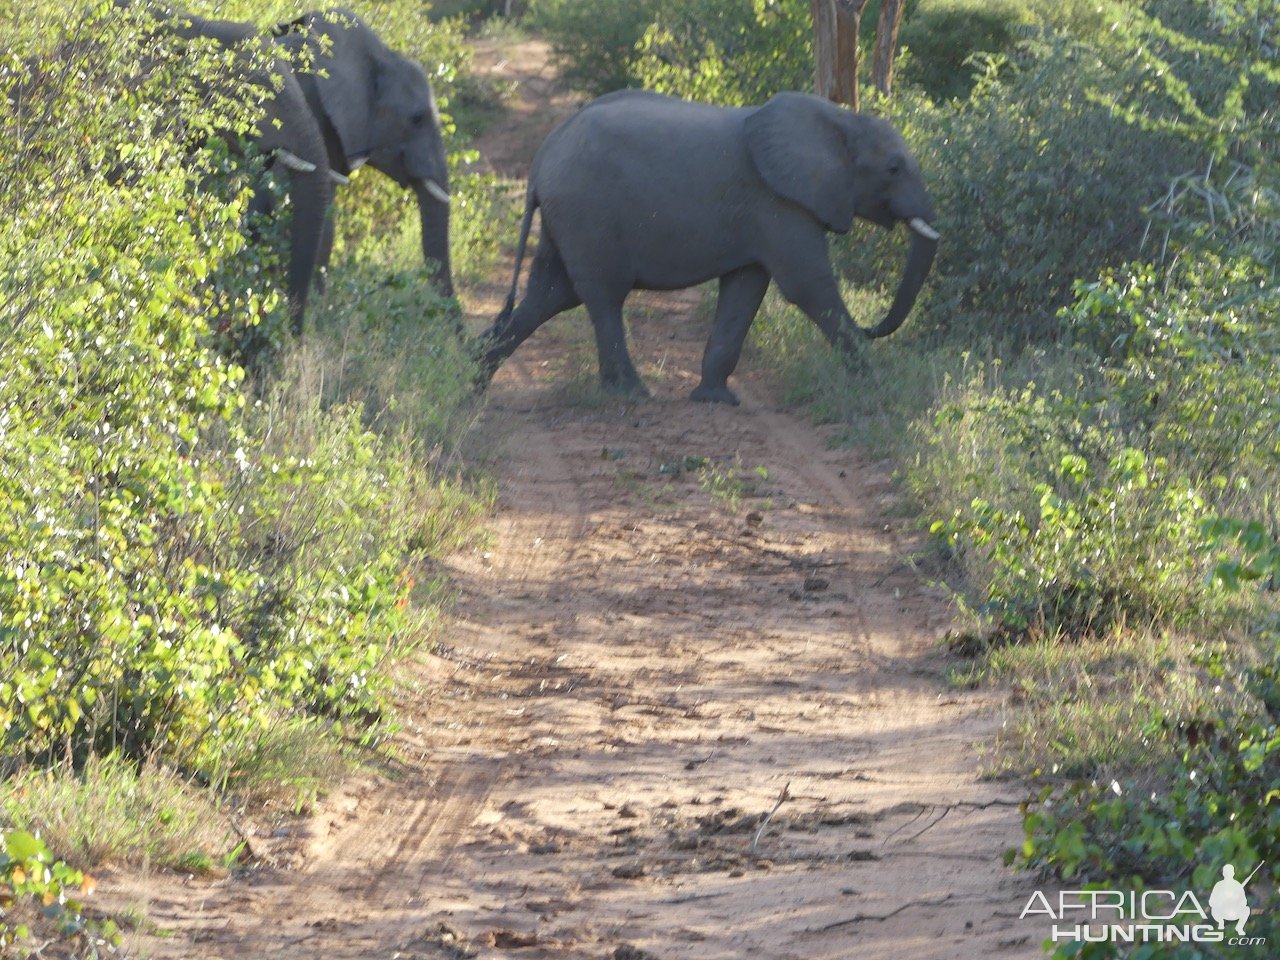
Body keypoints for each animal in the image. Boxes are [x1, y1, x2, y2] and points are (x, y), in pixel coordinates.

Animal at [481, 89, 942, 407]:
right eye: (893, 169)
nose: (873, 327)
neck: (843, 120)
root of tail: (542, 159)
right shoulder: (779, 204)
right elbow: (807, 286)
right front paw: (883, 388)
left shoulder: (762, 214)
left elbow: (746, 289)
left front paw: (716, 400)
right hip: (586, 214)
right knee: (602, 297)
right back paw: (632, 394)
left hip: (566, 220)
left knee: (550, 295)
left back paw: (474, 379)